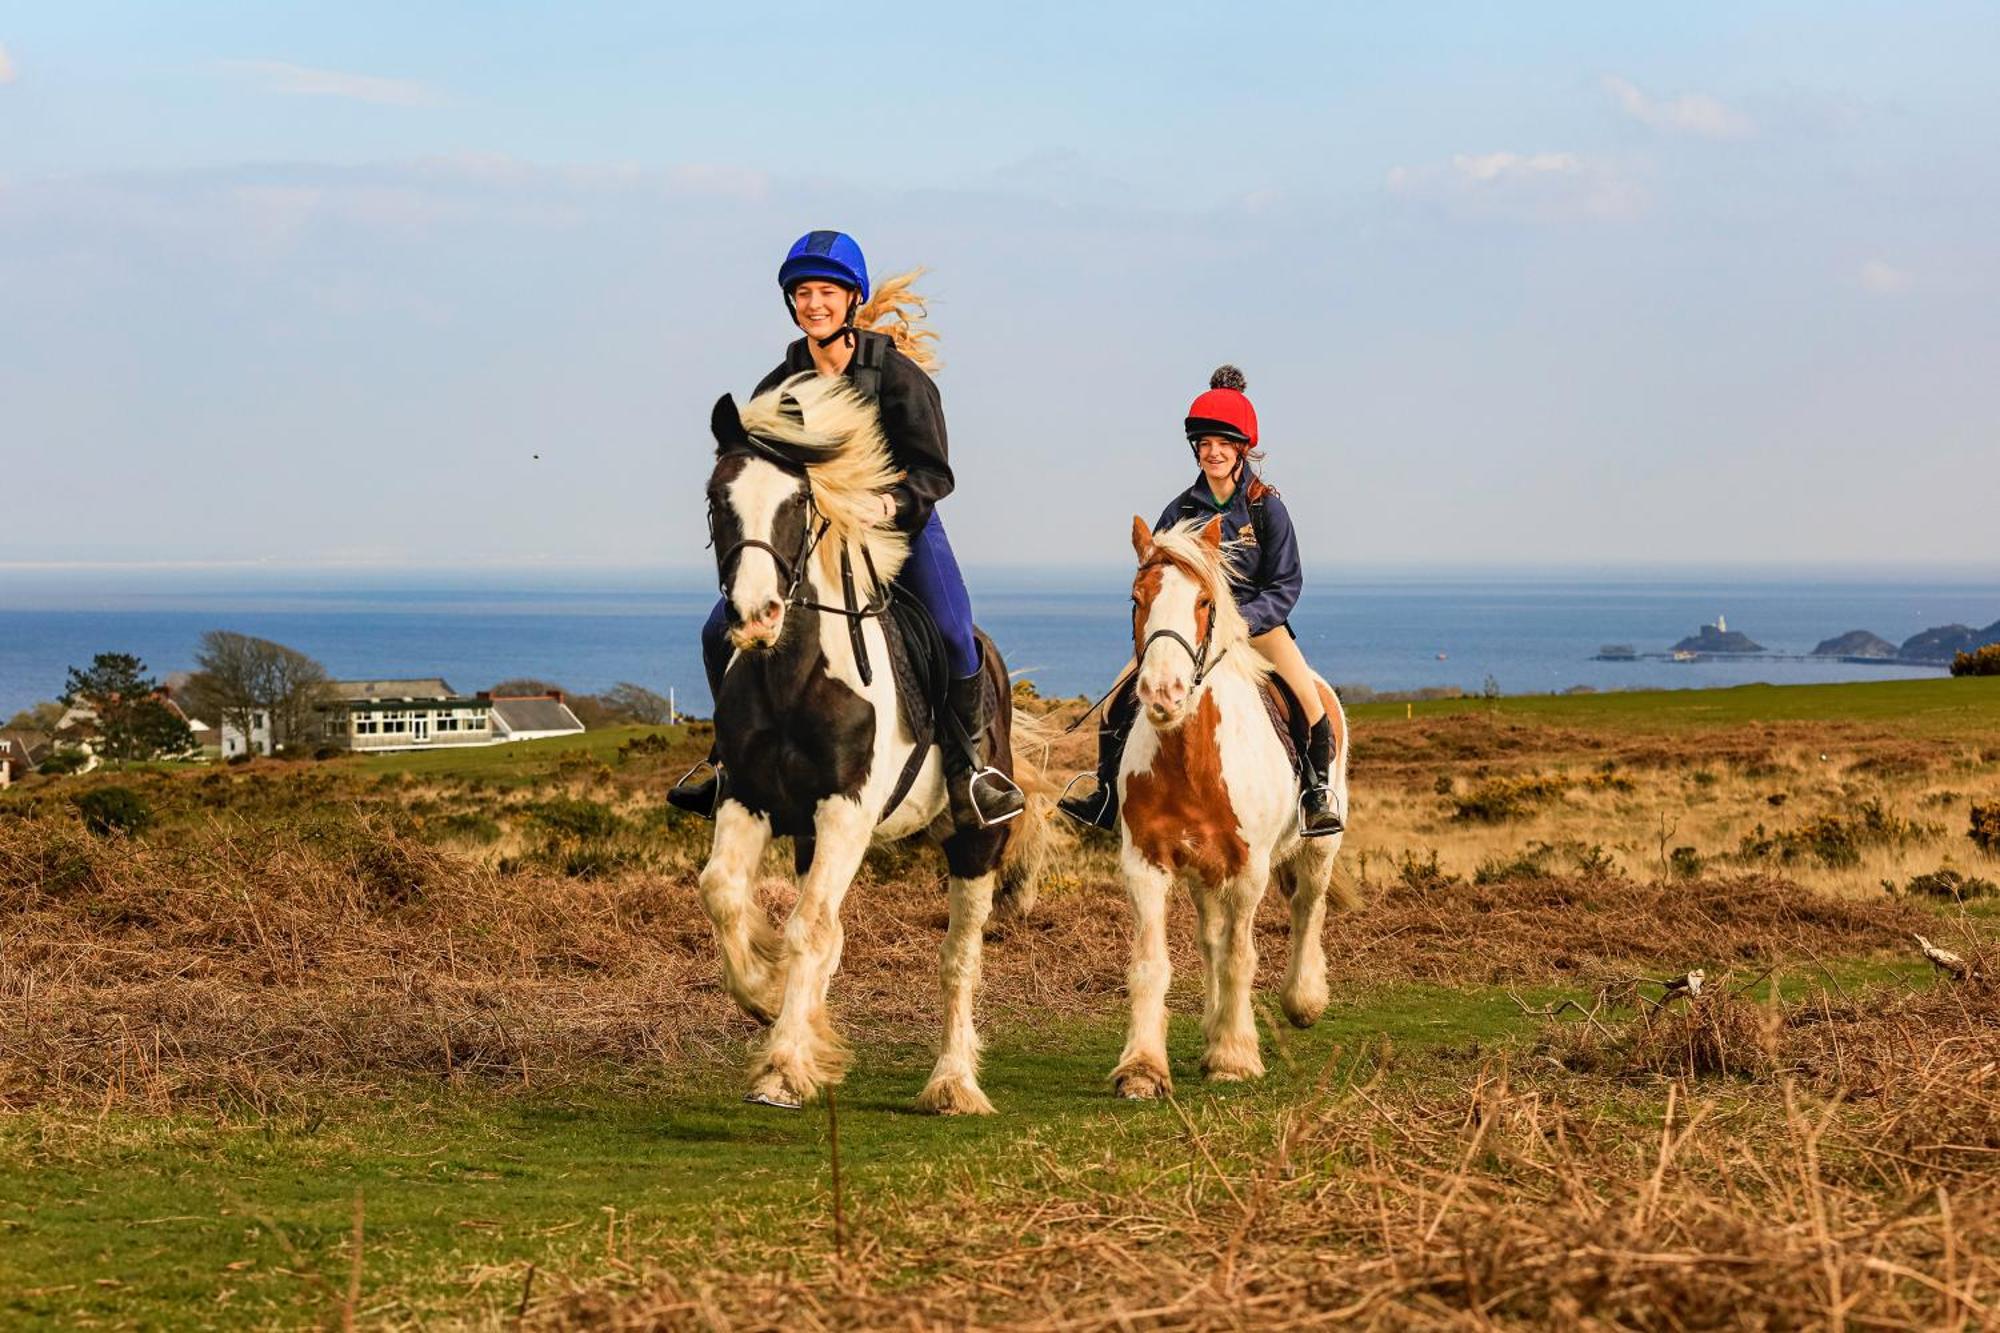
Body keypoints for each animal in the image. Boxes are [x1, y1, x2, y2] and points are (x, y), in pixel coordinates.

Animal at [700, 368, 1048, 1104]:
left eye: (798, 500)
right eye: (718, 497)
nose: (756, 615)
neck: (793, 672)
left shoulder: (847, 811)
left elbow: (808, 927)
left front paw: (782, 1063)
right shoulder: (748, 797)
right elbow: (724, 893)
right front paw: (766, 997)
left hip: (973, 840)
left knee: (958, 957)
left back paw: (952, 1082)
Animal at [1104, 508, 1352, 1088]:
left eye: (1203, 601)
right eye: (1136, 598)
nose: (1163, 693)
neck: (1190, 760)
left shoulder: (1248, 868)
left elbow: (1242, 957)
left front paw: (1235, 1057)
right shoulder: (1145, 862)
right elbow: (1152, 964)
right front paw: (1143, 1067)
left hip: (1318, 848)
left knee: (1308, 907)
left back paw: (1303, 1000)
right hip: (1203, 873)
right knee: (1211, 939)